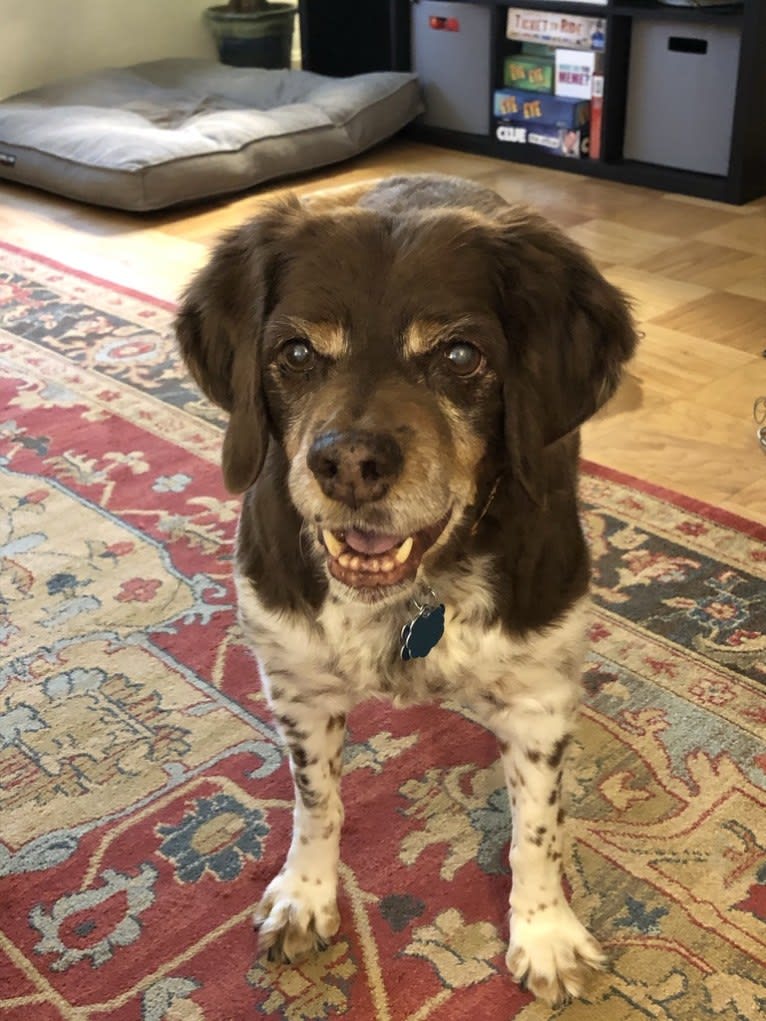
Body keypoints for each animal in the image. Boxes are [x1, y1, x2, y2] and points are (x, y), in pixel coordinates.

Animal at [176, 175, 637, 1004]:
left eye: (459, 353)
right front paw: (306, 895)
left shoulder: (540, 694)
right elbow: (316, 801)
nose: (350, 464)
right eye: (296, 351)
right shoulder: (298, 683)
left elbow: (537, 831)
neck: (408, 601)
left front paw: (546, 933)